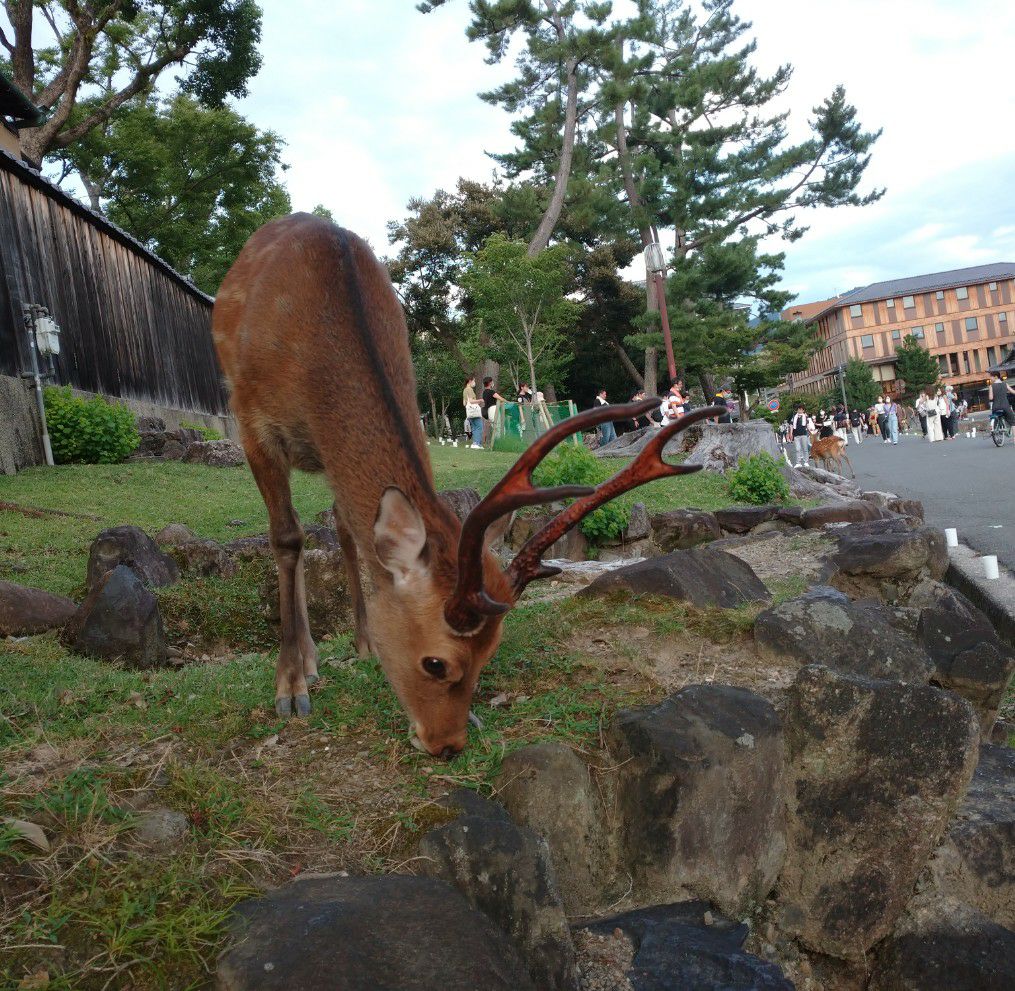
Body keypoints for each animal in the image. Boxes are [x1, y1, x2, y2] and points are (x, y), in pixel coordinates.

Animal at [214, 215, 722, 759]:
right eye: (435, 662)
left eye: (489, 654)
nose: (448, 745)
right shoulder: (252, 423)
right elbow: (287, 537)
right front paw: (290, 686)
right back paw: (309, 660)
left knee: (347, 527)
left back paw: (363, 641)